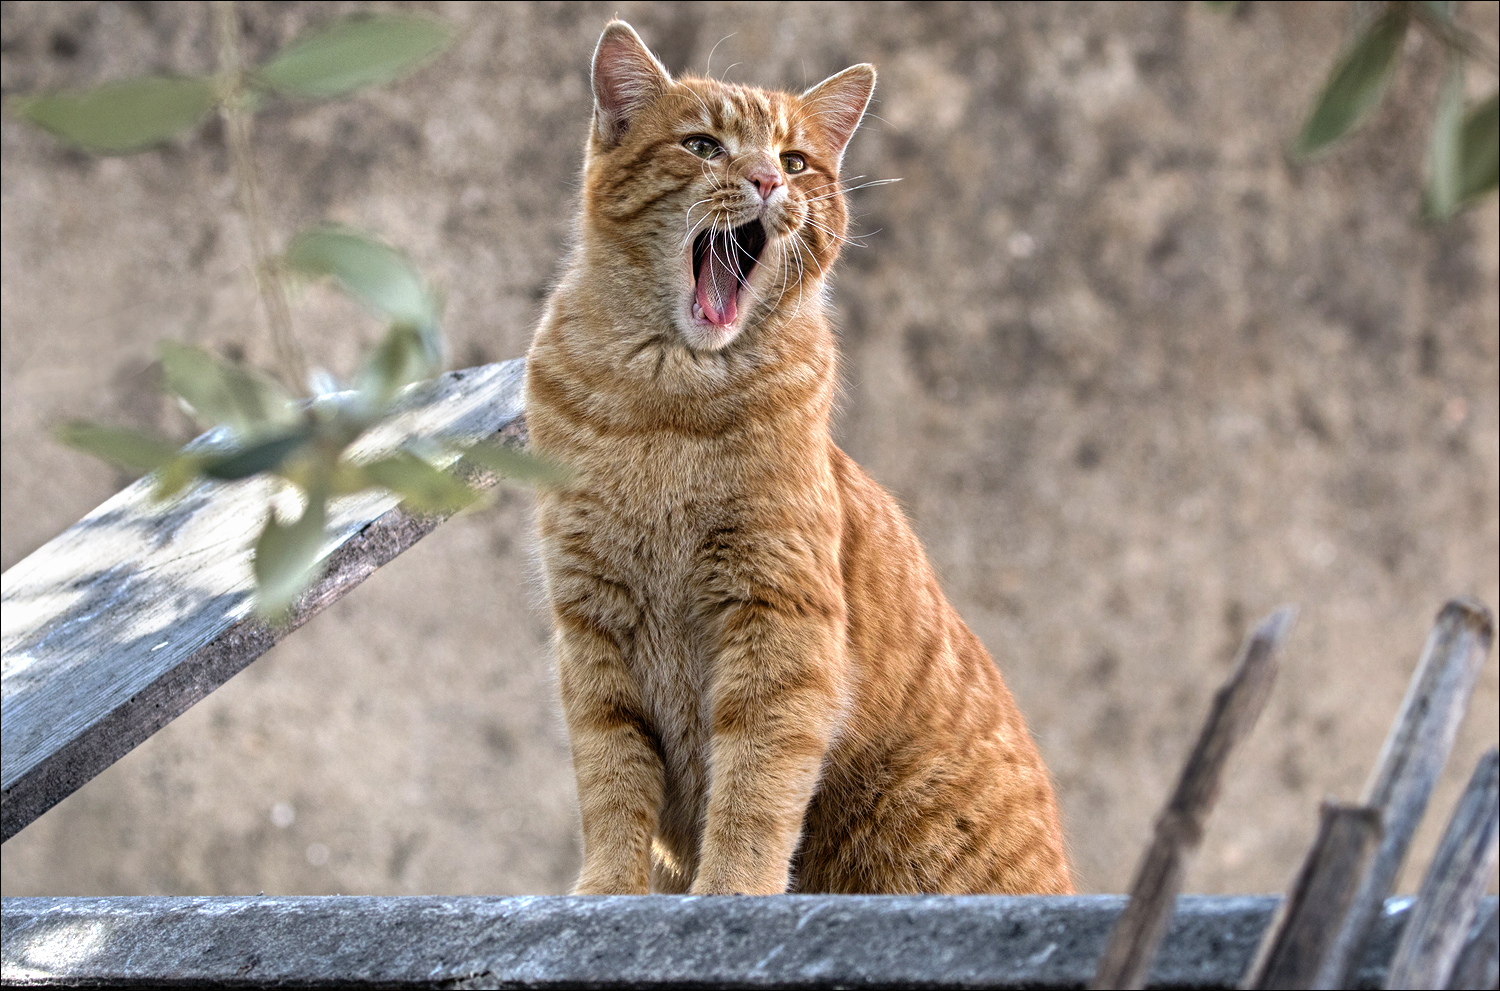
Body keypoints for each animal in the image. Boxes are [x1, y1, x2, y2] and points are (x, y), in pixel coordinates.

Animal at [525, 21, 1068, 899]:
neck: (664, 407)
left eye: (796, 159)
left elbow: (755, 779)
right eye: (703, 145)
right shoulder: (592, 626)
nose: (766, 181)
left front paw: (730, 890)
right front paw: (607, 890)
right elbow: (611, 780)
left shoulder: (779, 617)